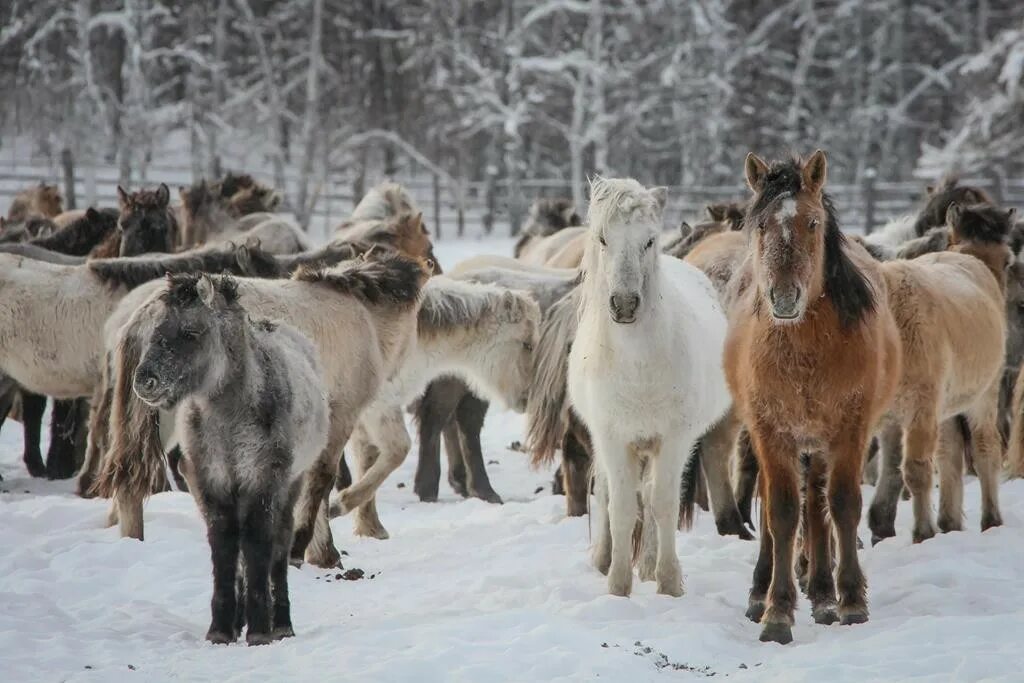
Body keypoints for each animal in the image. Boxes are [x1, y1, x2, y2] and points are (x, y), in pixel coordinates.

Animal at [130, 274, 325, 647]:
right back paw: (239, 620)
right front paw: (221, 629)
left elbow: (258, 545)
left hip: (291, 484)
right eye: (156, 329)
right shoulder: (213, 481)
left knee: (279, 546)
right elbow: (224, 545)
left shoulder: (263, 480)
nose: (145, 381)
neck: (229, 415)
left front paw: (261, 629)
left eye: (191, 332)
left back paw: (281, 623)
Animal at [569, 178, 729, 598]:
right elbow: (622, 506)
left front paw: (668, 581)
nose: (625, 304)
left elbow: (663, 504)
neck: (637, 365)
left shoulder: (673, 438)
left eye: (650, 241)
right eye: (603, 238)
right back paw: (606, 558)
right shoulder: (612, 437)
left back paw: (649, 564)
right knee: (610, 490)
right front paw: (617, 585)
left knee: (654, 495)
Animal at [724, 150, 901, 647]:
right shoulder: (771, 432)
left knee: (820, 505)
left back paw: (822, 591)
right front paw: (777, 612)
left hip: (819, 442)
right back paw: (761, 591)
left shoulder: (849, 430)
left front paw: (850, 600)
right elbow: (782, 513)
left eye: (813, 222)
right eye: (761, 224)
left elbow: (841, 506)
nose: (785, 297)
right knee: (776, 508)